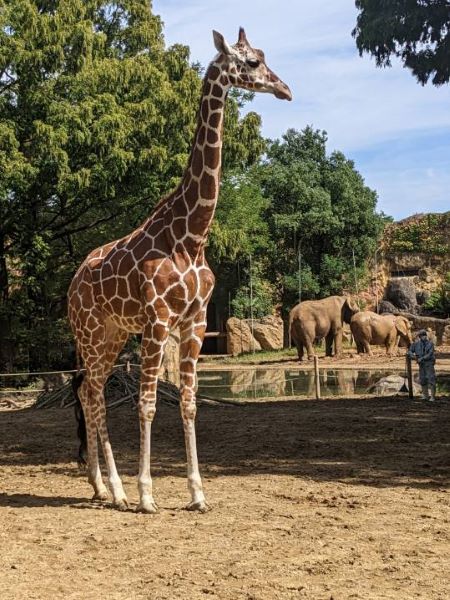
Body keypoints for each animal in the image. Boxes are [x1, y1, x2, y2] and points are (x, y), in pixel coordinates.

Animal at [67, 28, 292, 512]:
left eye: (264, 56)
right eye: (250, 63)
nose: (284, 89)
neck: (193, 236)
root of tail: (72, 284)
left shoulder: (195, 321)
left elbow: (188, 403)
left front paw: (197, 493)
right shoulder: (157, 321)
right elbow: (148, 403)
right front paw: (148, 495)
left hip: (112, 334)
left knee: (88, 391)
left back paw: (102, 487)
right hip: (90, 332)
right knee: (92, 394)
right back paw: (117, 490)